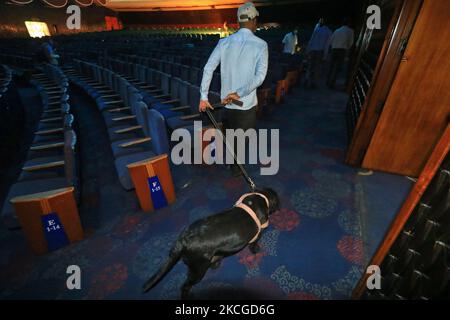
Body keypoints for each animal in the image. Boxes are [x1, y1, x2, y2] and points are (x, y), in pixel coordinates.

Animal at [142, 186, 280, 298]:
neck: (260, 196)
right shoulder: (257, 234)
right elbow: (254, 244)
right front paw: (256, 250)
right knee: (185, 286)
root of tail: (182, 240)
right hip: (198, 269)